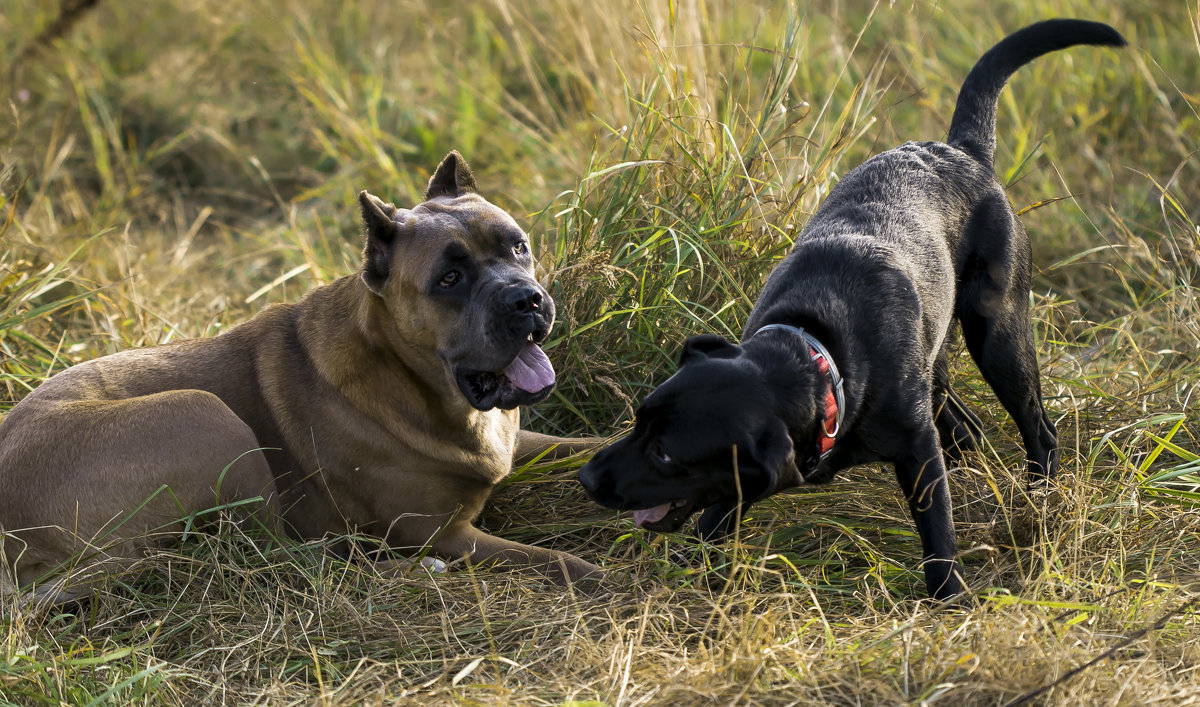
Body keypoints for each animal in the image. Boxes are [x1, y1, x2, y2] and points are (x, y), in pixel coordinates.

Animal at [578, 19, 1123, 597]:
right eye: (638, 420)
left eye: (665, 452)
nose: (586, 478)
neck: (817, 352)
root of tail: (962, 151)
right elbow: (719, 510)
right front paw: (695, 564)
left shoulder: (915, 446)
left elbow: (936, 523)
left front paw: (949, 593)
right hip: (941, 351)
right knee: (962, 419)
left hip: (997, 332)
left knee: (1037, 428)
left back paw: (1038, 501)